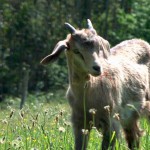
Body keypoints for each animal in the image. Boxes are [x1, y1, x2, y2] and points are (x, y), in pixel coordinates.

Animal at [40, 19, 150, 149]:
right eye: (76, 51)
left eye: (98, 48)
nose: (97, 68)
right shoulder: (79, 123)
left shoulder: (111, 122)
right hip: (131, 118)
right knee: (134, 138)